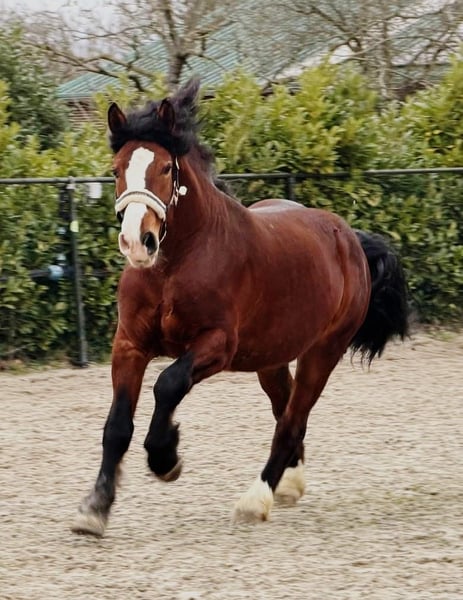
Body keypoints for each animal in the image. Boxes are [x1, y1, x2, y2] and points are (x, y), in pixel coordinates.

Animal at [71, 78, 408, 537]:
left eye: (165, 168)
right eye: (116, 169)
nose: (137, 242)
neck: (175, 265)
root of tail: (348, 238)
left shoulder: (217, 344)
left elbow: (168, 384)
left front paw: (166, 456)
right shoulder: (129, 344)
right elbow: (117, 426)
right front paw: (95, 508)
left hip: (324, 351)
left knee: (291, 420)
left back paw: (257, 498)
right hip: (271, 357)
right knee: (285, 409)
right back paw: (290, 484)